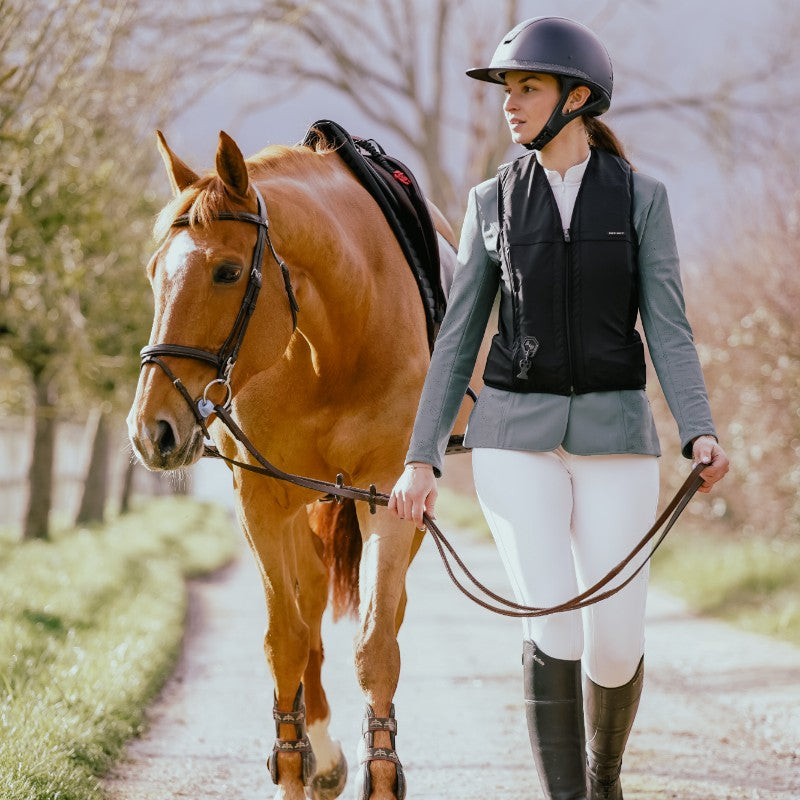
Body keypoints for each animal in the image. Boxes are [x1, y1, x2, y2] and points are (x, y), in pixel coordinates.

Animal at [127, 129, 459, 800]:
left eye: (227, 272)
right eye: (154, 273)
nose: (153, 430)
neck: (331, 343)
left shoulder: (391, 496)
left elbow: (376, 644)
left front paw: (381, 773)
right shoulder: (262, 498)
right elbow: (286, 640)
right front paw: (294, 765)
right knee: (307, 608)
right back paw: (322, 752)